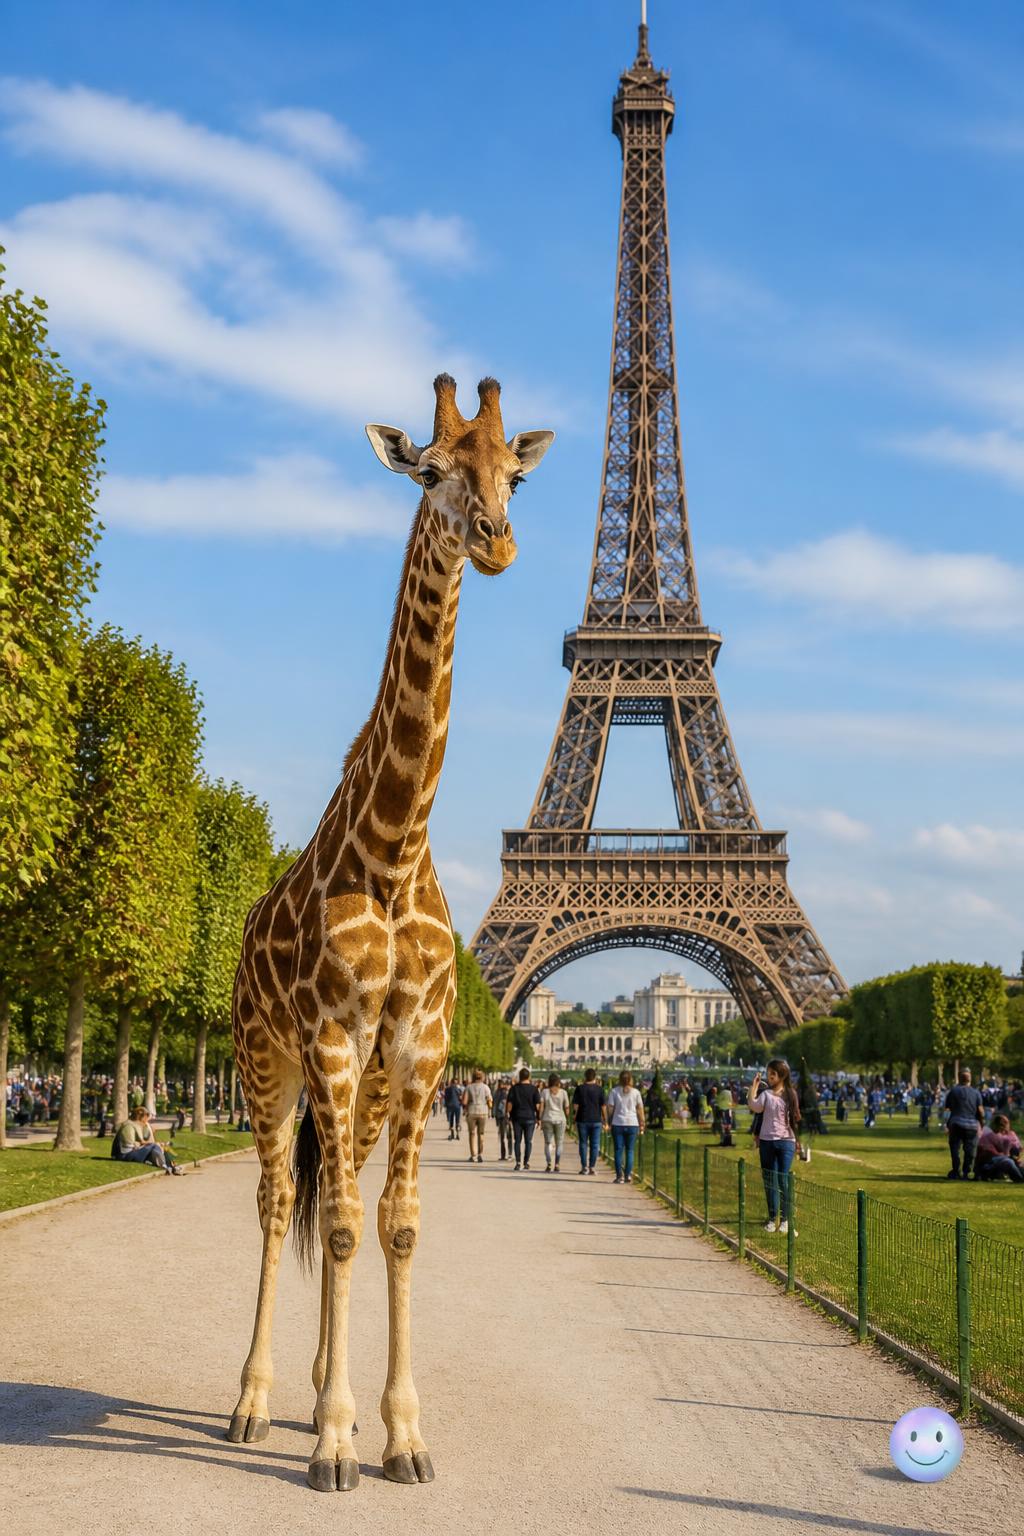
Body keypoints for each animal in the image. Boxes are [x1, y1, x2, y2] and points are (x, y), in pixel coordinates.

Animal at [226, 373, 553, 1492]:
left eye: (513, 476)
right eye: (430, 470)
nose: (497, 541)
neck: (396, 840)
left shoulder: (418, 1047)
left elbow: (396, 1227)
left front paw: (400, 1433)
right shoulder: (331, 1036)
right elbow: (327, 1226)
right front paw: (334, 1439)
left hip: (358, 1085)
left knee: (344, 1198)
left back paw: (324, 1386)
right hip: (266, 1059)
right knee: (281, 1202)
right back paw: (256, 1401)